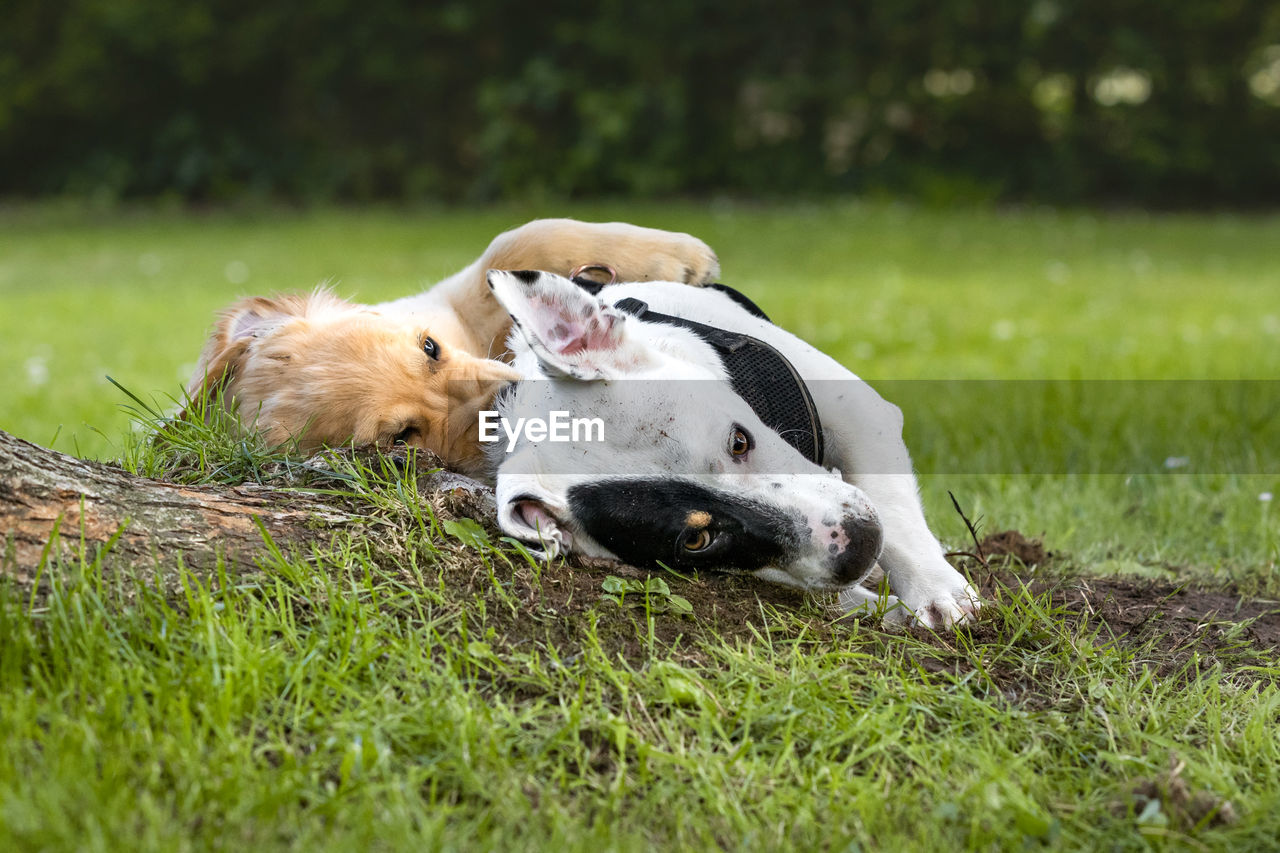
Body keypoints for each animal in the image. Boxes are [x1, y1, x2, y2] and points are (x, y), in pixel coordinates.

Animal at [185, 216, 721, 473]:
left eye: (430, 348)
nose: (512, 404)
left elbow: (513, 243)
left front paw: (678, 257)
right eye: (402, 436)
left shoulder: (449, 305)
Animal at [481, 268, 977, 627]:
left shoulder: (861, 414)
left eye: (739, 441)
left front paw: (935, 589)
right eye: (697, 540)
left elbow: (893, 506)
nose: (860, 546)